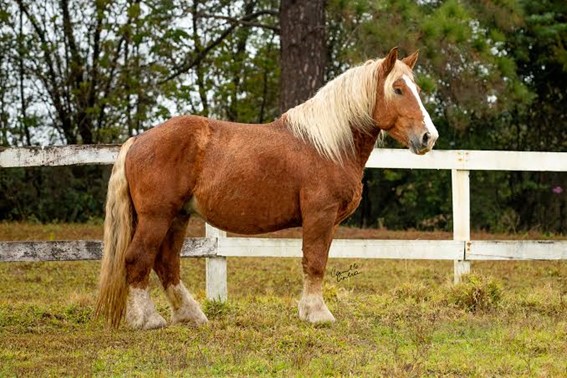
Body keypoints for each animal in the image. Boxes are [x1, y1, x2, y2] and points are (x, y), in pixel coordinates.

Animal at [95, 47, 440, 330]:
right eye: (397, 89)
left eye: (417, 90)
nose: (429, 137)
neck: (327, 146)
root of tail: (138, 140)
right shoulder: (320, 216)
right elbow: (315, 262)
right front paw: (317, 314)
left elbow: (315, 262)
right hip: (157, 217)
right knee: (138, 259)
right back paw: (147, 320)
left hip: (178, 217)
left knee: (166, 263)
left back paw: (190, 316)